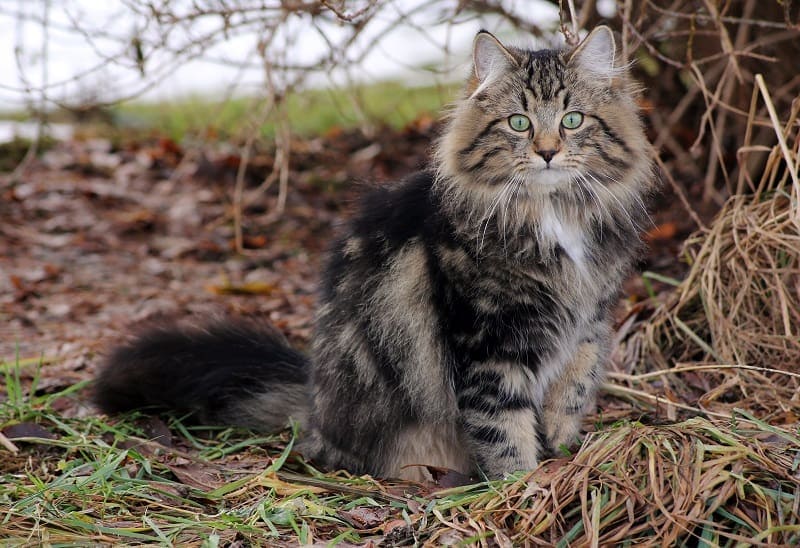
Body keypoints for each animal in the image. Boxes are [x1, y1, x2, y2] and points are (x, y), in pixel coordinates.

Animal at [95, 26, 656, 480]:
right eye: (519, 123)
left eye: (573, 120)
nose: (547, 152)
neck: (552, 215)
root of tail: (314, 406)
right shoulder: (488, 344)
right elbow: (503, 431)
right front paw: (520, 490)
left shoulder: (588, 322)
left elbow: (572, 393)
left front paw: (560, 453)